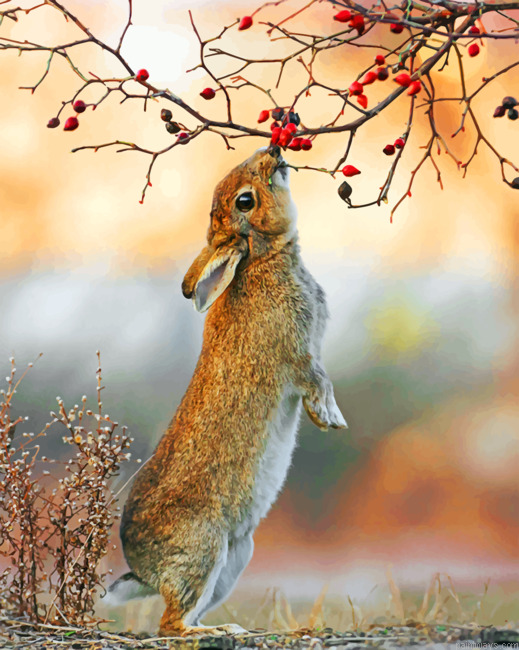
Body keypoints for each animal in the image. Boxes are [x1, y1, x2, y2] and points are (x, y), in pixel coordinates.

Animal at [107, 146, 347, 636]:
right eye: (245, 201)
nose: (272, 151)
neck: (260, 258)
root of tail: (143, 570)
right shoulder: (298, 356)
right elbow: (318, 380)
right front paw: (330, 419)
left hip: (237, 555)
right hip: (205, 549)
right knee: (171, 624)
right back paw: (218, 632)